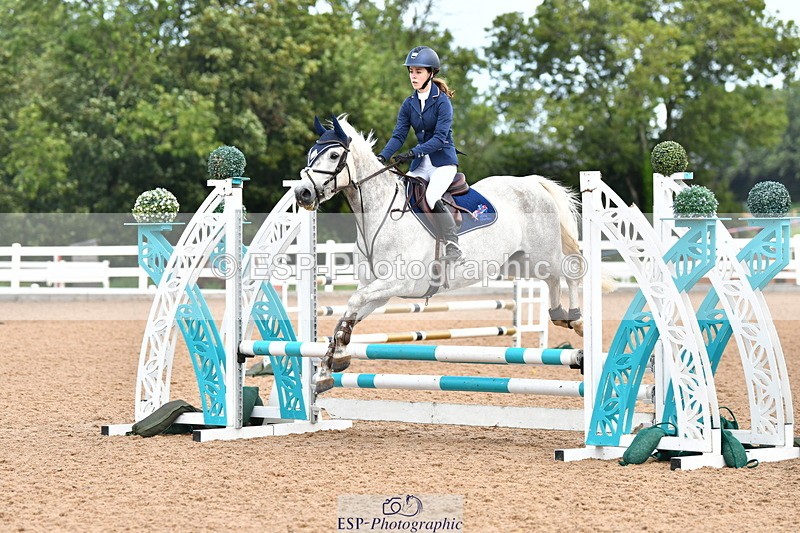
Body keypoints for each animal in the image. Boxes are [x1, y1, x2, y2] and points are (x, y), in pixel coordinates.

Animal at [295, 115, 583, 393]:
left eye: (334, 155)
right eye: (311, 154)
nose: (302, 193)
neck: (379, 215)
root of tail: (531, 183)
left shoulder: (398, 281)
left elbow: (353, 302)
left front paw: (336, 357)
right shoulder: (378, 290)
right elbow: (349, 314)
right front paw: (327, 369)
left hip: (542, 255)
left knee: (570, 271)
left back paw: (576, 319)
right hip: (520, 263)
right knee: (552, 280)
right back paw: (560, 315)